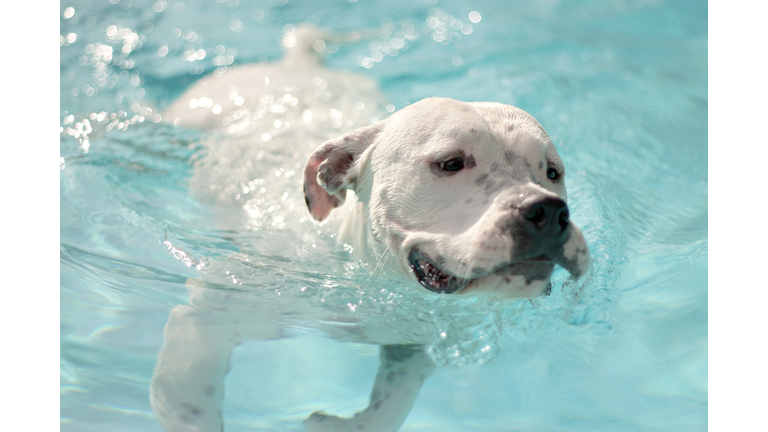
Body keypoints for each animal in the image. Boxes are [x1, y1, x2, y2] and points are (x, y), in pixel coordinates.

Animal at [152, 25, 592, 430]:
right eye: (450, 163)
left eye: (553, 172)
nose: (548, 210)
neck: (353, 263)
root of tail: (298, 64)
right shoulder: (211, 308)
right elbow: (186, 391)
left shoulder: (408, 343)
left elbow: (393, 401)